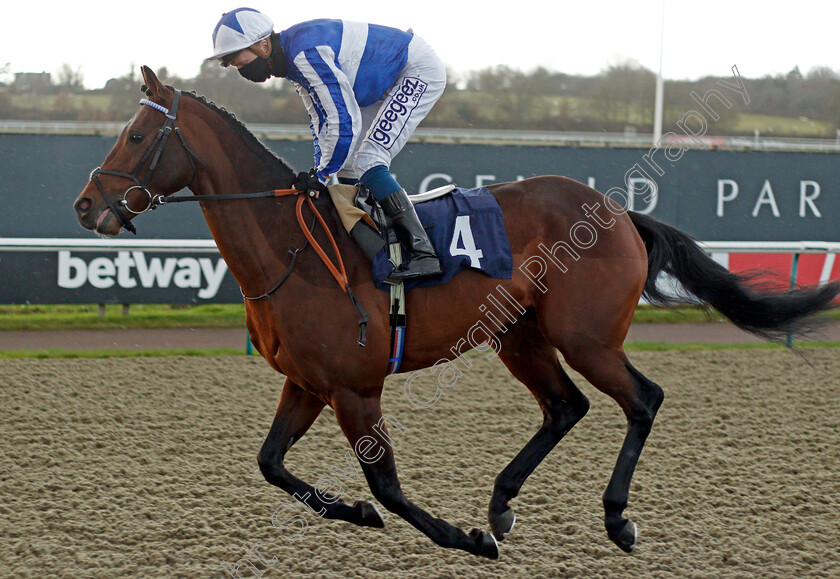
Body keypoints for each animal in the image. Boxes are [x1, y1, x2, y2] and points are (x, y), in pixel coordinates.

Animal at [74, 65, 840, 560]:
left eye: (136, 137)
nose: (86, 205)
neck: (292, 247)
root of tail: (621, 213)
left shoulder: (356, 386)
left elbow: (386, 484)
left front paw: (458, 536)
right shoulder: (308, 382)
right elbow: (270, 463)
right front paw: (365, 514)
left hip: (585, 335)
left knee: (642, 399)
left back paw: (615, 519)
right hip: (519, 335)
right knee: (565, 406)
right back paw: (502, 502)